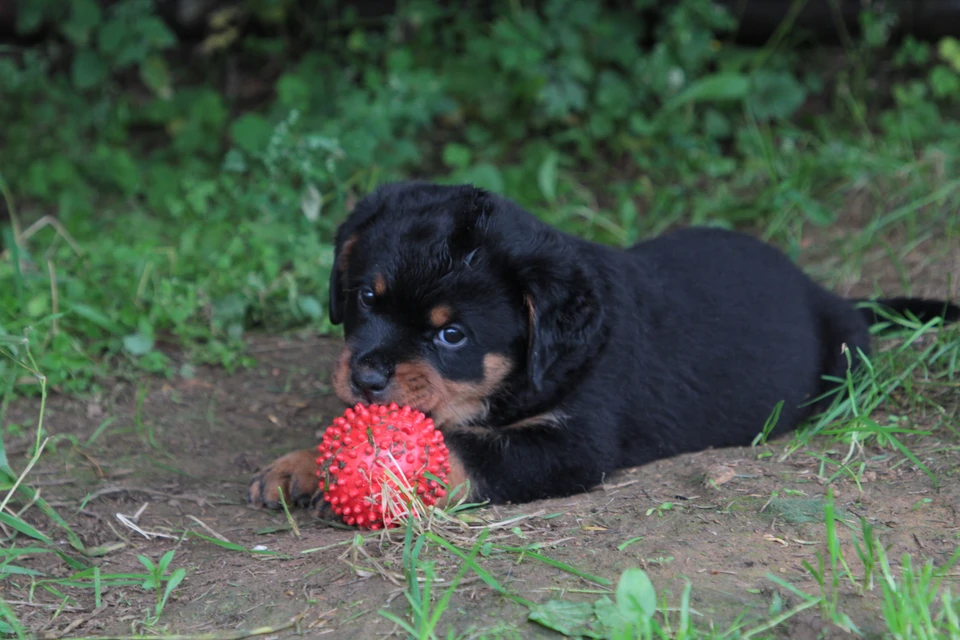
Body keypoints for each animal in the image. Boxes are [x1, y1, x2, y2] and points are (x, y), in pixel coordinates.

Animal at [249, 180, 960, 510]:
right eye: (366, 299)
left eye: (452, 334)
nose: (367, 377)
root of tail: (827, 292)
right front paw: (299, 465)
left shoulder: (571, 444)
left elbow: (455, 447)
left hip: (844, 362)